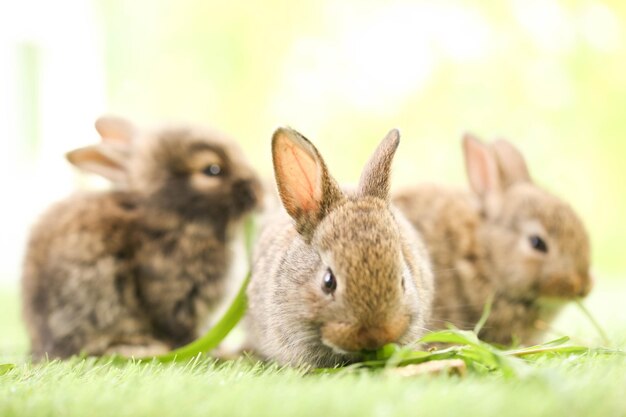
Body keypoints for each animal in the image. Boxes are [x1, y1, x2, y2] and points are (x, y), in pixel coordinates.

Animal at [20, 114, 260, 358]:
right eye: (212, 169)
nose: (258, 192)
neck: (173, 217)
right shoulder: (176, 300)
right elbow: (183, 330)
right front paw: (219, 353)